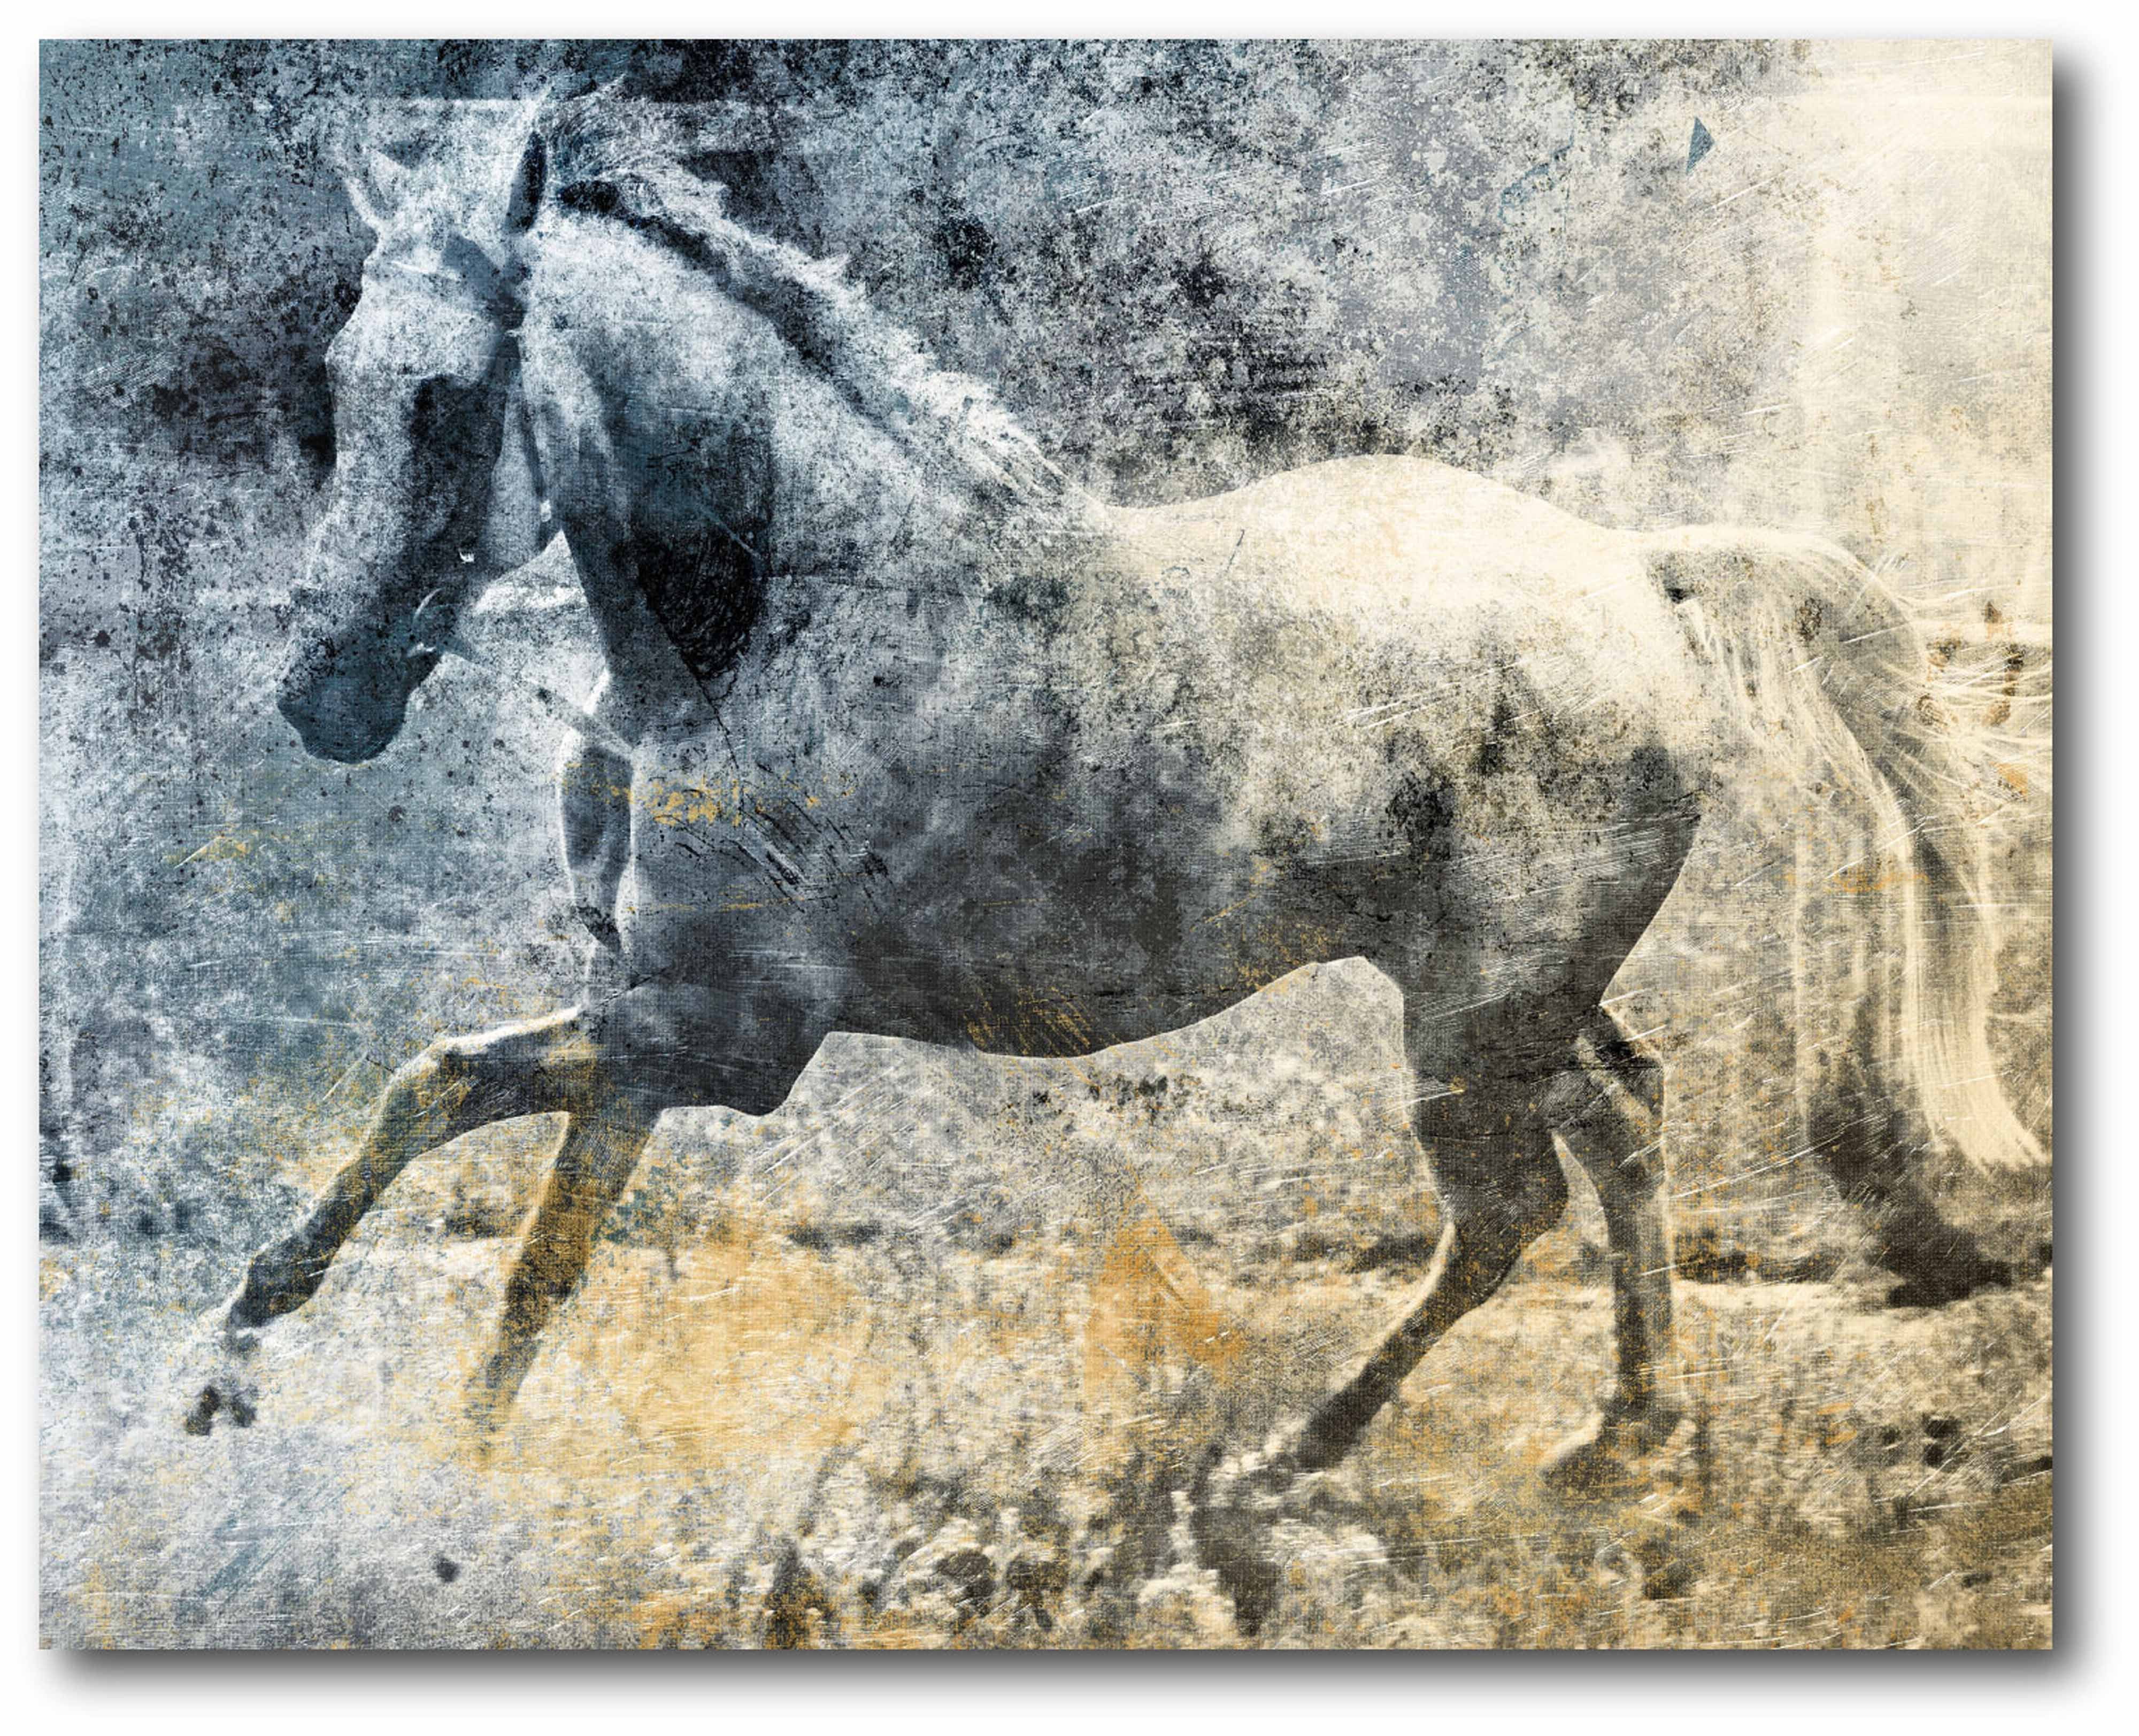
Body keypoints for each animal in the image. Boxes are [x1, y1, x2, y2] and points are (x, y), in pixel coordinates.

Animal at [192, 94, 2040, 1492]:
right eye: (345, 370)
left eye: (442, 392)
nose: (322, 692)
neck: (764, 634)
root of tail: (1637, 575)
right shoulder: (645, 1017)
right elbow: (532, 1242)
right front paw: (396, 1435)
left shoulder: (723, 1035)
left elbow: (438, 1092)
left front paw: (253, 1373)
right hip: (1511, 993)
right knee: (1629, 1121)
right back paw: (1626, 1438)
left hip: (1472, 1011)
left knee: (1508, 1206)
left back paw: (1294, 1456)